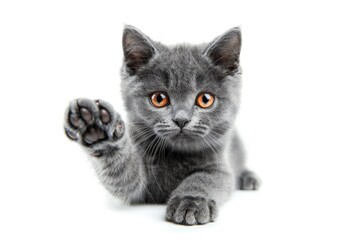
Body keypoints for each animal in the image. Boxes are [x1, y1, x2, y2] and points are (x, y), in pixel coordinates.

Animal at [64, 25, 258, 225]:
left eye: (205, 99)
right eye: (159, 99)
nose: (181, 119)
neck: (177, 157)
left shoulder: (219, 167)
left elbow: (203, 178)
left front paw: (191, 202)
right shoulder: (139, 186)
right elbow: (124, 175)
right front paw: (98, 129)